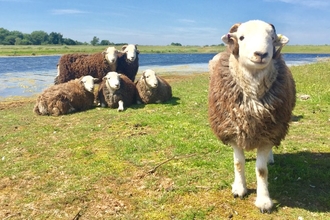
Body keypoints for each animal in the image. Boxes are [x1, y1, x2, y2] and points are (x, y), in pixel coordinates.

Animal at [208, 20, 296, 213]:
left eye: (272, 38)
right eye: (241, 37)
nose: (261, 54)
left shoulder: (268, 132)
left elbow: (261, 170)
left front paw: (264, 201)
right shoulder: (234, 131)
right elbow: (239, 163)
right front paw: (239, 189)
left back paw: (270, 158)